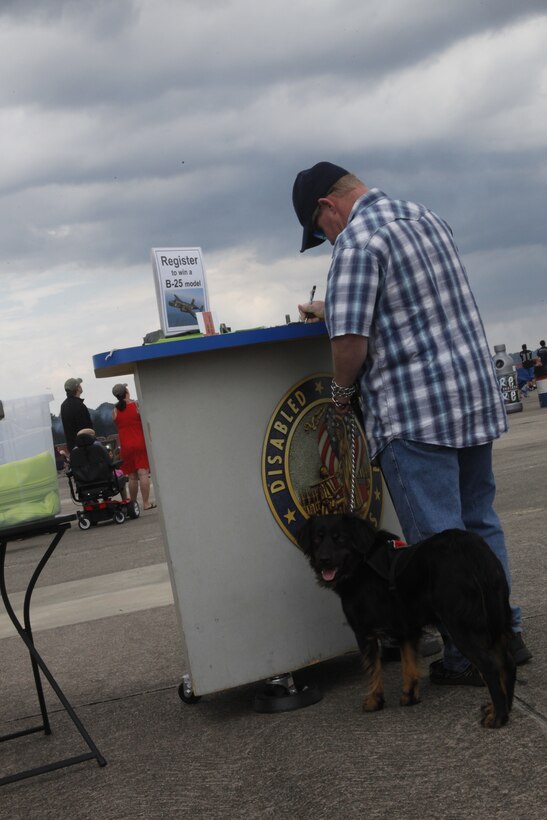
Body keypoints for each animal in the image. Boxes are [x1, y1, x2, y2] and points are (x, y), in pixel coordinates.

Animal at [298, 516, 516, 728]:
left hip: (460, 626)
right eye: (317, 539)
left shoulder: (363, 631)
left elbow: (373, 669)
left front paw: (374, 701)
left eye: (340, 538)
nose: (323, 559)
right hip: (498, 619)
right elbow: (408, 664)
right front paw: (409, 696)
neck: (361, 562)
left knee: (490, 667)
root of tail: (472, 550)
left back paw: (497, 718)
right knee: (507, 662)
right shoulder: (407, 628)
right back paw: (504, 709)